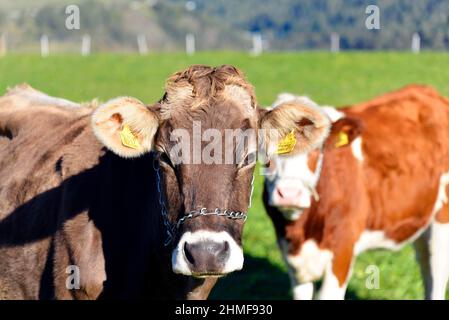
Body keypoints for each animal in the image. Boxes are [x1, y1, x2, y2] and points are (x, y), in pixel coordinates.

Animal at [262, 85, 448, 300]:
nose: (289, 194)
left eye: (318, 149)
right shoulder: (292, 258)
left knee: (437, 274)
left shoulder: (343, 250)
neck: (300, 231)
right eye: (264, 151)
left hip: (442, 221)